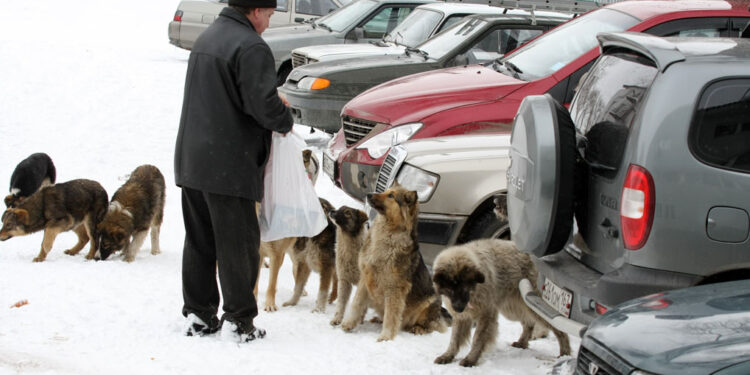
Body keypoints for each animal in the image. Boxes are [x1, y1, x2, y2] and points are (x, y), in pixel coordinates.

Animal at [342, 187, 446, 342]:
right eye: (386, 191)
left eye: (391, 196)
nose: (369, 194)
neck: (387, 232)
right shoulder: (365, 280)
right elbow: (357, 303)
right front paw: (348, 323)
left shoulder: (394, 289)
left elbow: (391, 316)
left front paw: (386, 337)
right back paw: (378, 319)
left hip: (429, 303)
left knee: (431, 325)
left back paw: (418, 328)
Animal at [432, 241, 572, 368]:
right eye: (449, 290)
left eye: (465, 288)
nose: (458, 308)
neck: (475, 291)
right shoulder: (461, 317)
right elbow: (454, 340)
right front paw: (448, 356)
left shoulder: (486, 316)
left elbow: (478, 339)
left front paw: (471, 359)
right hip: (513, 308)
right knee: (529, 323)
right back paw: (522, 343)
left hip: (533, 308)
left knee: (558, 328)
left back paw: (565, 353)